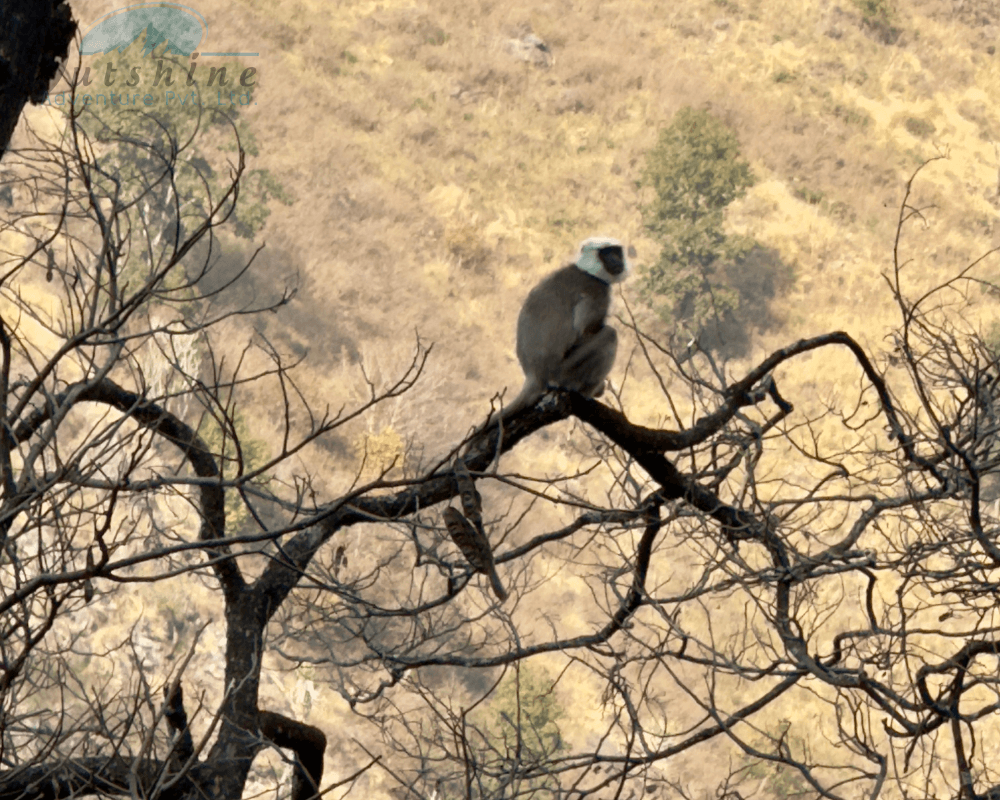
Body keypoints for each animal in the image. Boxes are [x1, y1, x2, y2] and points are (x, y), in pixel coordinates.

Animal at [481, 236, 630, 430]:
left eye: (617, 251)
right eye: (607, 252)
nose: (616, 260)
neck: (587, 270)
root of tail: (534, 374)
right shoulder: (597, 290)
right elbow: (585, 332)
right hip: (563, 372)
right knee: (609, 335)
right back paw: (586, 392)